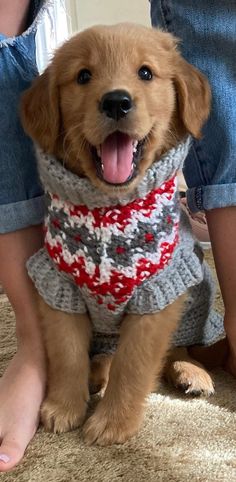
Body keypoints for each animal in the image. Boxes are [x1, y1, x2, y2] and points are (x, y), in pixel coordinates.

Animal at [20, 22, 223, 444]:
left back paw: (190, 372)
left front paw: (114, 421)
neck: (109, 210)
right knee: (103, 355)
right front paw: (64, 405)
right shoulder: (59, 285)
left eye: (145, 72)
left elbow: (135, 362)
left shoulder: (158, 293)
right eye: (83, 76)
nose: (116, 102)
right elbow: (66, 354)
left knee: (177, 349)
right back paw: (97, 373)